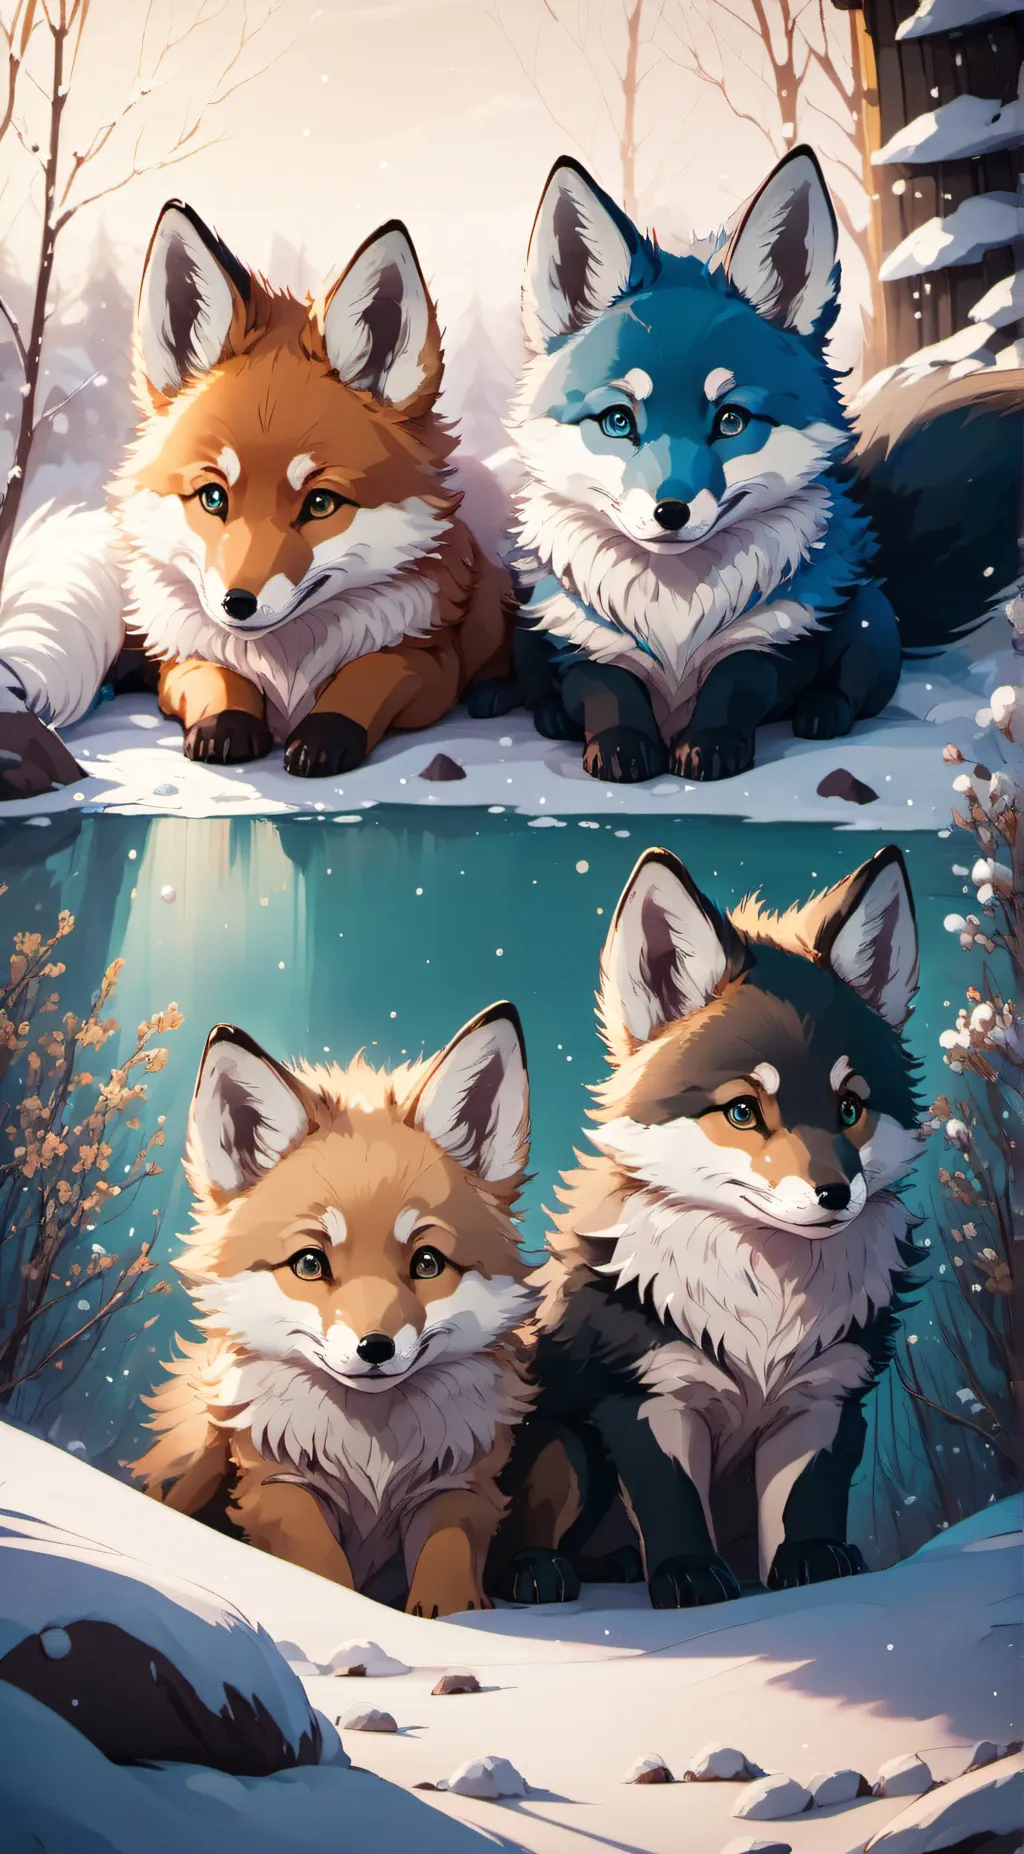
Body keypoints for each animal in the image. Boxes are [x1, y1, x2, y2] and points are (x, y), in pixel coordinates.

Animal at [0, 202, 516, 800]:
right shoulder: (181, 658)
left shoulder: (428, 664)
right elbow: (215, 677)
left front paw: (324, 735)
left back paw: (496, 693)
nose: (237, 604)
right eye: (212, 496)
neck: (284, 666)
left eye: (320, 504)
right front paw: (225, 725)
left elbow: (366, 675)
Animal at [132, 1005, 536, 1617]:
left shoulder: (458, 1486)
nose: (376, 1347)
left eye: (427, 1262)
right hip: (201, 1450)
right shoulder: (279, 1482)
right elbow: (323, 1571)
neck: (371, 1453)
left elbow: (448, 1569)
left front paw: (444, 1621)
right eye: (309, 1263)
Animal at [488, 845, 923, 1610]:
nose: (835, 1195)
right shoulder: (647, 1395)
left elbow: (804, 1504)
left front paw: (811, 1565)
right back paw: (541, 1571)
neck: (767, 1310)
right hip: (567, 1448)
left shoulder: (825, 1396)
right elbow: (672, 1503)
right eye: (743, 1111)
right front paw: (689, 1575)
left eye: (849, 1108)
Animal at [504, 145, 1024, 784]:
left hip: (869, 621)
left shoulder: (770, 639)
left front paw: (711, 747)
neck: (675, 613)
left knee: (859, 691)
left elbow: (735, 688)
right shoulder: (585, 643)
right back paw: (548, 716)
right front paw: (622, 747)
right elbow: (608, 692)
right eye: (618, 421)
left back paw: (824, 712)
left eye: (731, 420)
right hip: (528, 625)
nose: (671, 512)